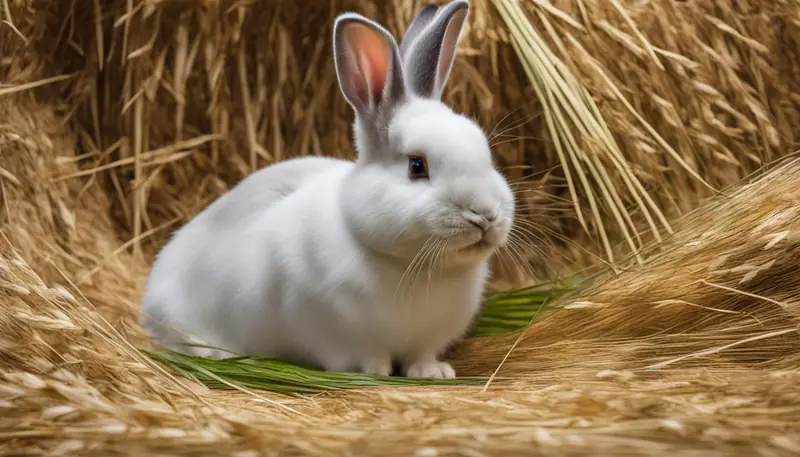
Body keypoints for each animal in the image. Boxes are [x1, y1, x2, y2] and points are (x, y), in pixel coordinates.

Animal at [139, 0, 515, 379]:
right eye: (417, 166)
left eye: (485, 152)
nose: (486, 215)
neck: (413, 266)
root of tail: (151, 298)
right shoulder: (334, 334)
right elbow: (363, 357)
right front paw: (376, 372)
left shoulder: (426, 339)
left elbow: (420, 356)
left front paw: (433, 372)